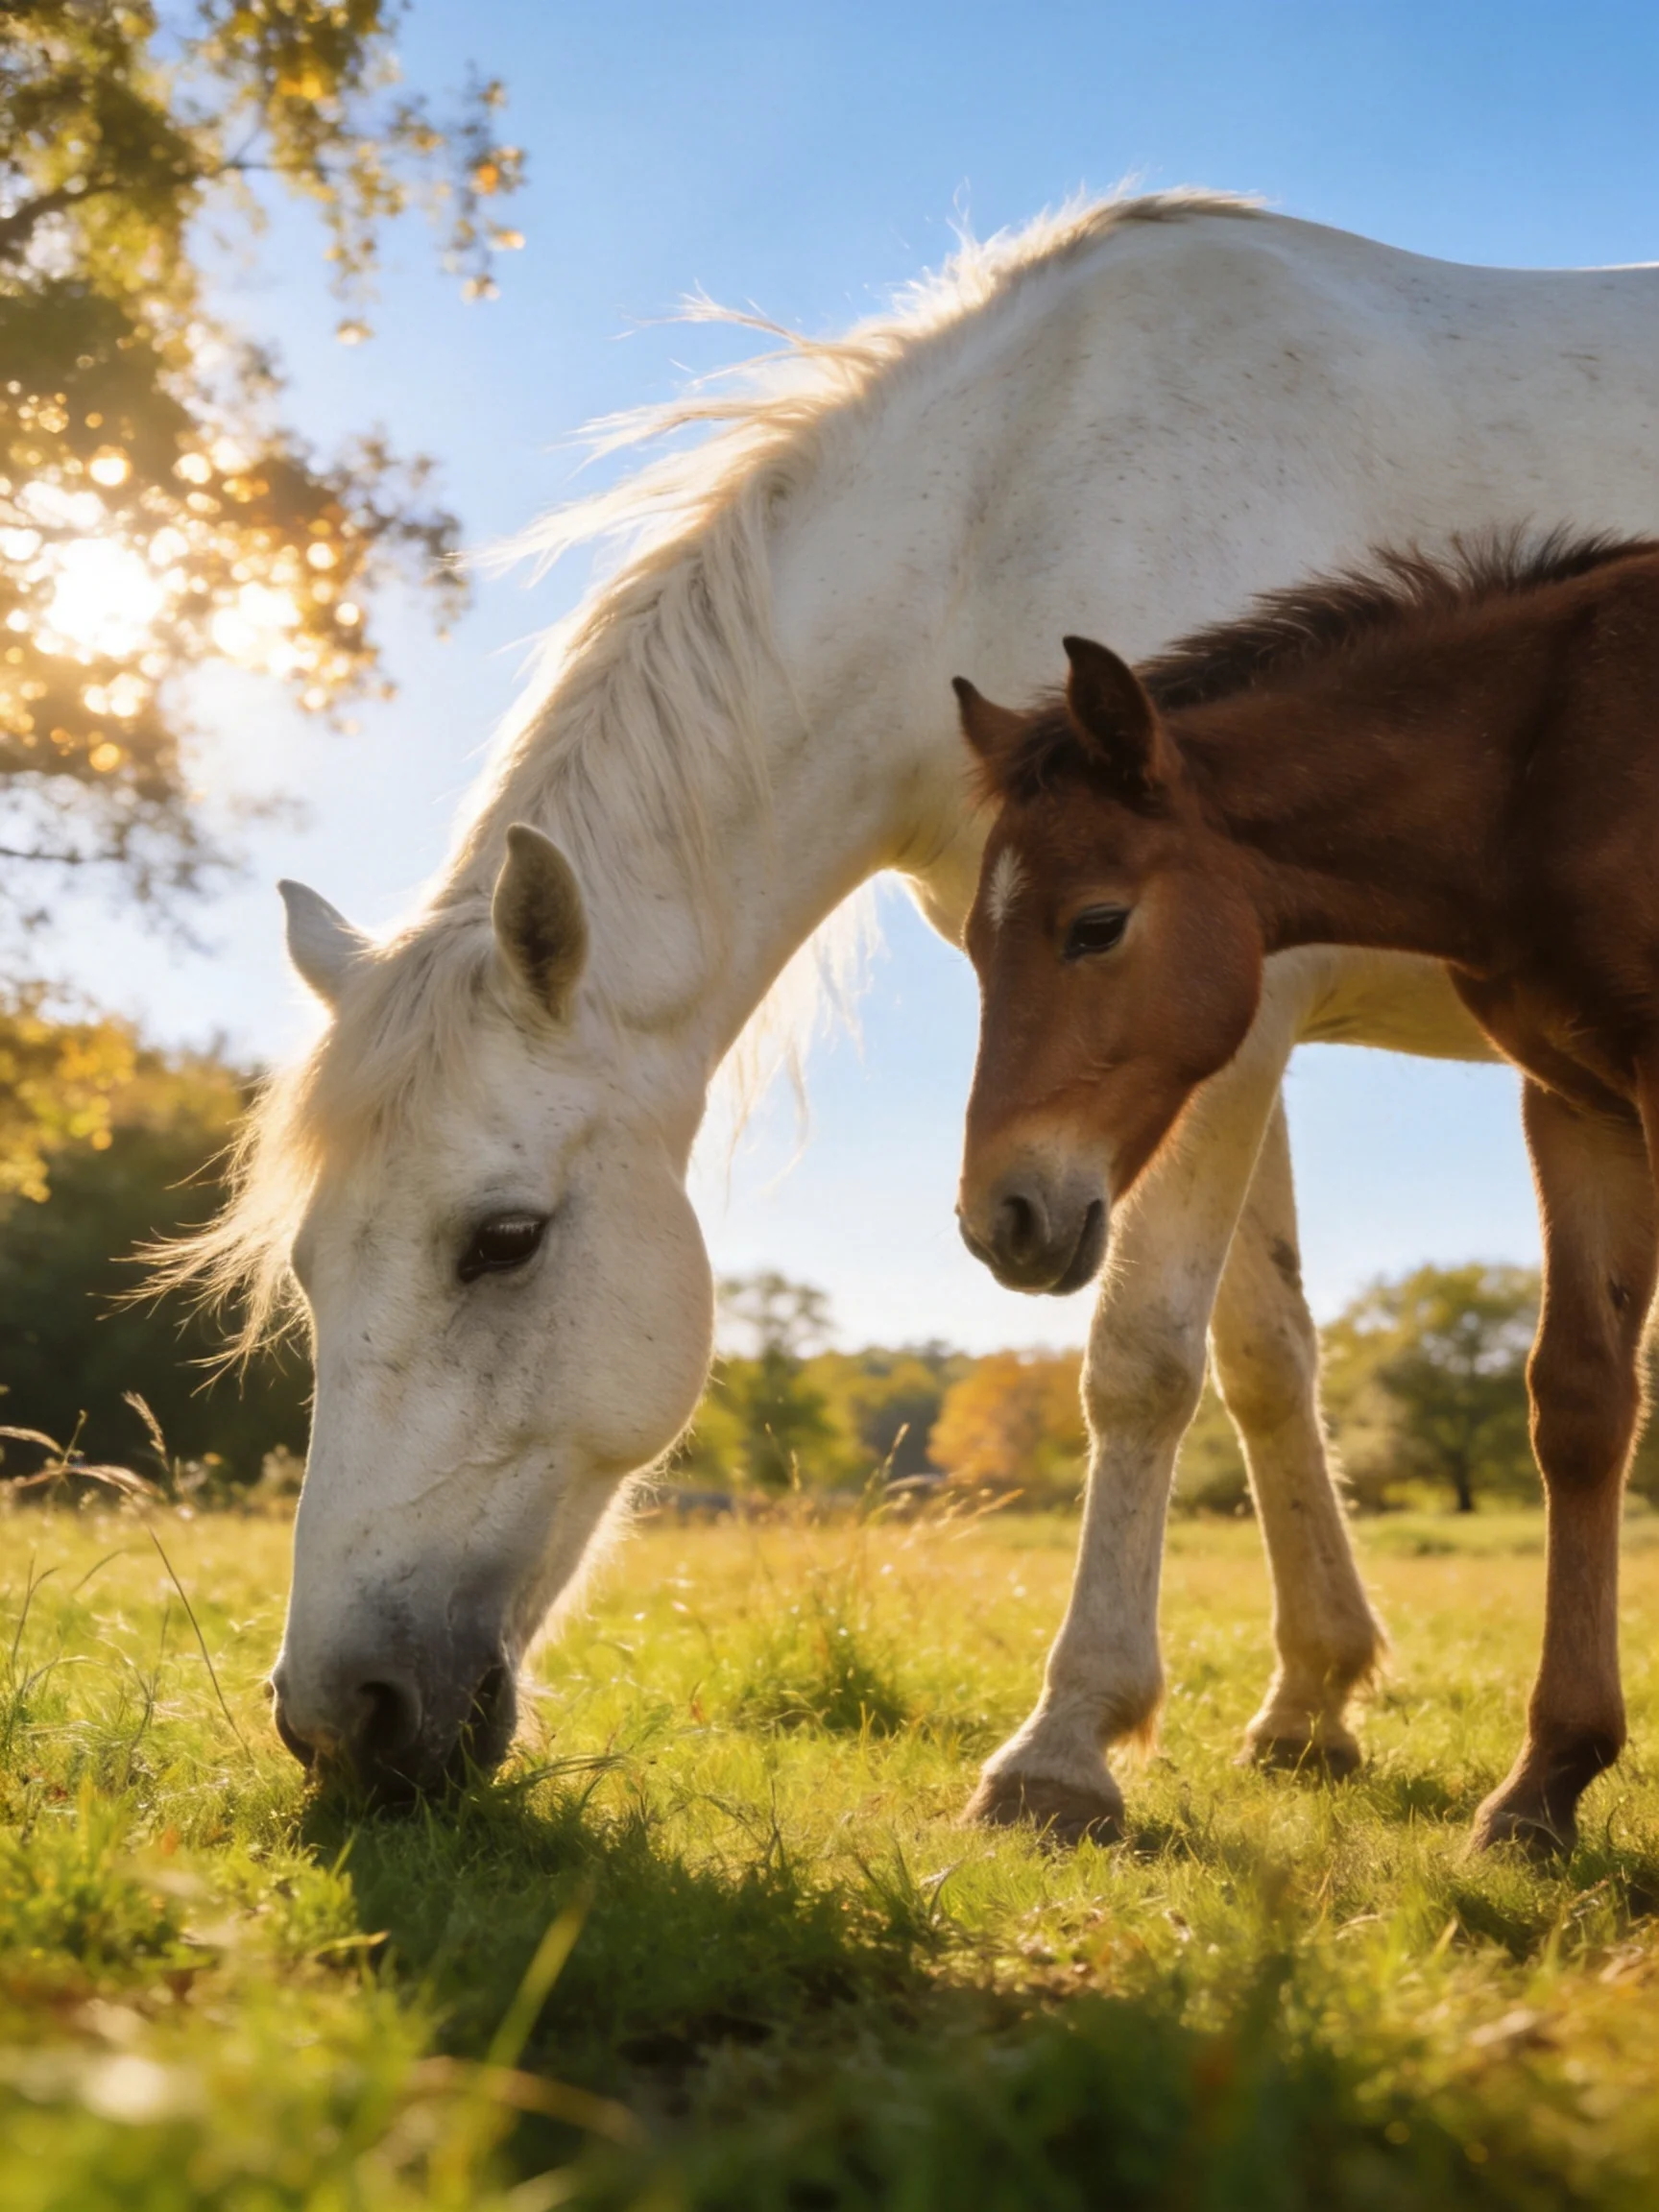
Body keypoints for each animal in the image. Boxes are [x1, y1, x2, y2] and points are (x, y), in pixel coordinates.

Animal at [956, 530, 1659, 1853]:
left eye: (1097, 924)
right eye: (976, 943)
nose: (998, 1218)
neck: (1554, 763)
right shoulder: (1578, 1100)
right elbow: (1581, 1404)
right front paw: (1547, 1781)